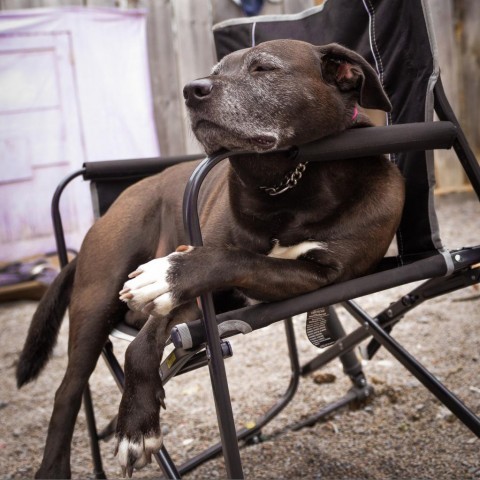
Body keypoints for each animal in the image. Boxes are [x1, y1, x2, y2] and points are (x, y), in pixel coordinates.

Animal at [15, 39, 404, 478]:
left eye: (263, 68)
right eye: (216, 70)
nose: (192, 90)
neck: (289, 188)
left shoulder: (319, 276)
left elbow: (235, 260)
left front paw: (169, 272)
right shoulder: (192, 304)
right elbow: (142, 344)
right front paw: (137, 425)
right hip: (95, 298)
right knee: (67, 391)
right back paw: (54, 465)